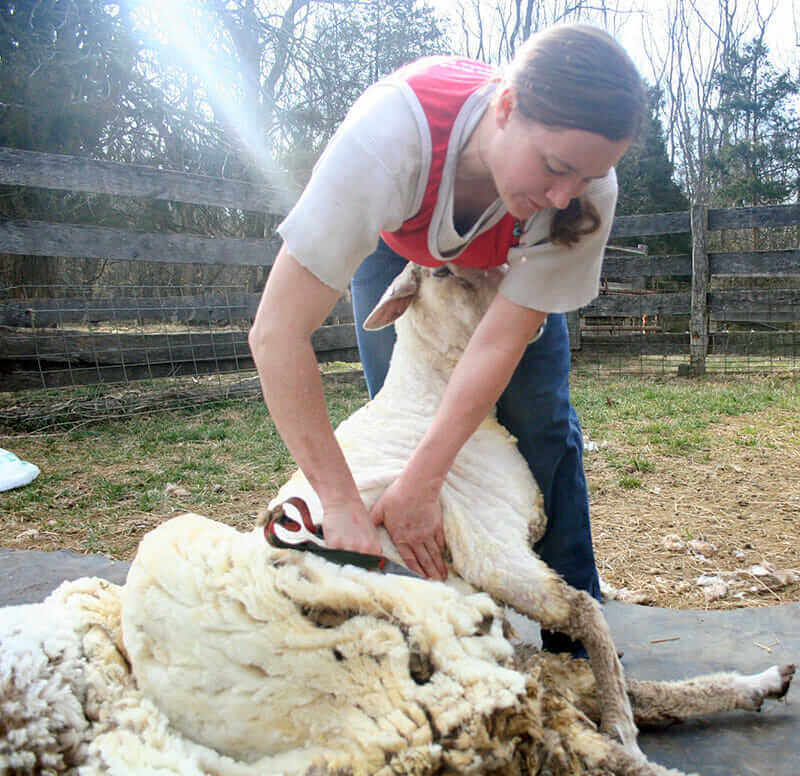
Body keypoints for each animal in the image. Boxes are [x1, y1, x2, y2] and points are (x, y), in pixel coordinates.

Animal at [1, 264, 792, 772]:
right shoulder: (489, 550)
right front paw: (624, 724)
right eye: (443, 272)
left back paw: (763, 682)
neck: (434, 398)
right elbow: (584, 611)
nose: (537, 306)